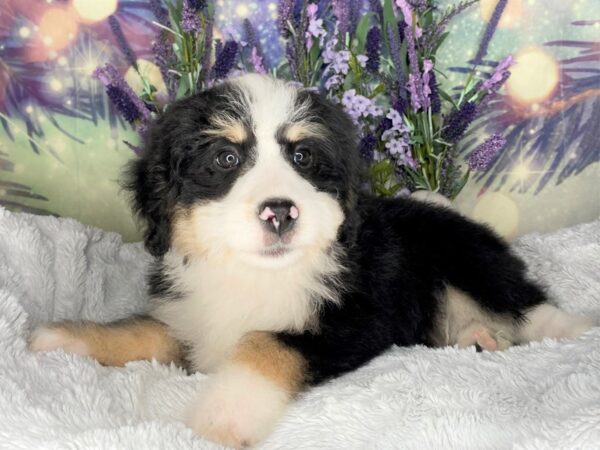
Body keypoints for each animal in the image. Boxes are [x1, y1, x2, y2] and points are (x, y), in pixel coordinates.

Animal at [29, 74, 596, 446]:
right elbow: (142, 329)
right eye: (226, 158)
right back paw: (478, 338)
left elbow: (264, 344)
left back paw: (570, 328)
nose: (280, 211)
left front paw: (221, 417)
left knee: (526, 302)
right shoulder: (192, 319)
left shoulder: (353, 317)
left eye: (302, 157)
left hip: (466, 253)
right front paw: (64, 337)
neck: (256, 274)